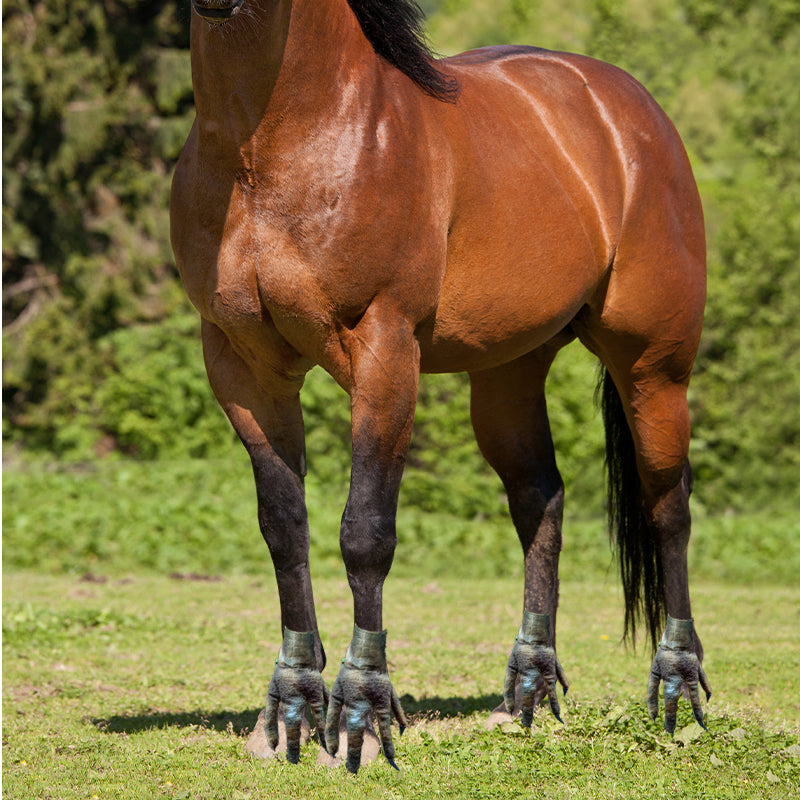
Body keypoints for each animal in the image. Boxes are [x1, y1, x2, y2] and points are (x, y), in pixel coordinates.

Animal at [170, 0, 712, 773]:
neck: (273, 151)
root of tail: (630, 111)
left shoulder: (385, 352)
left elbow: (365, 532)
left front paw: (361, 714)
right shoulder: (243, 367)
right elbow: (284, 529)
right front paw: (292, 707)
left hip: (653, 367)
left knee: (668, 508)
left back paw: (676, 686)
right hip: (509, 374)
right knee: (540, 500)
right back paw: (524, 694)